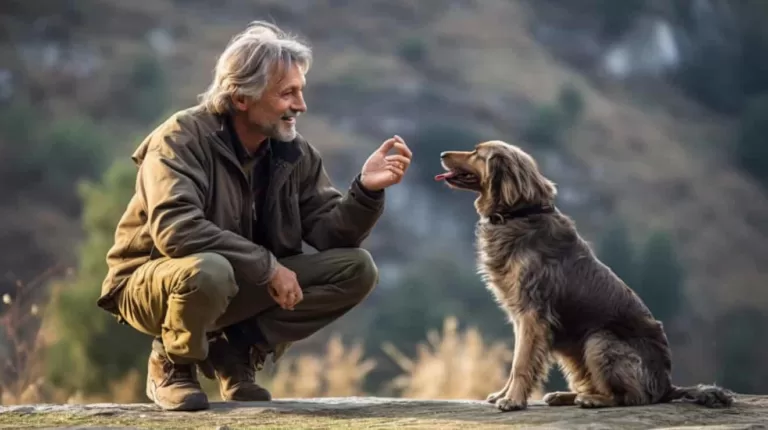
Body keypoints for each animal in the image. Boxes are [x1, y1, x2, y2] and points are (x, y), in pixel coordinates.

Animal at [436, 141, 736, 414]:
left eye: (476, 153)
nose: (441, 153)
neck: (520, 213)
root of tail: (667, 386)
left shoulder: (533, 314)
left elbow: (521, 363)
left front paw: (512, 400)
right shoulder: (520, 316)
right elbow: (515, 363)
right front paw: (503, 394)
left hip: (599, 340)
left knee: (631, 397)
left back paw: (593, 400)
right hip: (577, 351)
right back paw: (567, 395)